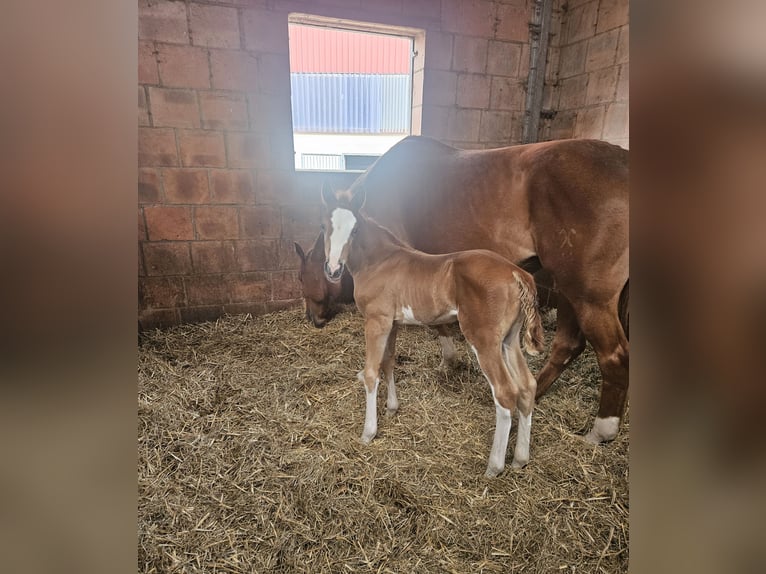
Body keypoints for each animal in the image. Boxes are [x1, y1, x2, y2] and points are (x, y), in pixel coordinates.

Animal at [296, 136, 629, 444]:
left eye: (301, 279)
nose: (313, 319)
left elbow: (432, 322)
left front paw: (447, 358)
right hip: (570, 289)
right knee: (567, 346)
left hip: (587, 295)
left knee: (613, 356)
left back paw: (600, 430)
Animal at [320, 182, 544, 477]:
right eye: (324, 226)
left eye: (355, 230)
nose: (333, 269)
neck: (379, 261)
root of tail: (517, 273)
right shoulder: (392, 323)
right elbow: (388, 363)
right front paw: (392, 408)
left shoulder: (376, 320)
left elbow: (371, 372)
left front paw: (368, 432)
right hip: (509, 340)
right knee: (527, 386)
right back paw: (520, 458)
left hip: (484, 340)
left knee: (506, 393)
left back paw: (494, 467)